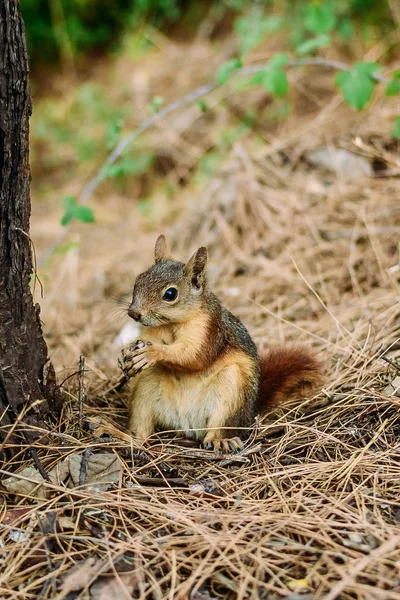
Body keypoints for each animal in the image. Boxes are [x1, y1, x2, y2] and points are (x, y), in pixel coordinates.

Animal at [117, 234, 324, 450]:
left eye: (170, 294)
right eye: (138, 280)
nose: (133, 313)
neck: (172, 323)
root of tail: (187, 425)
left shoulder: (209, 330)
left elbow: (194, 355)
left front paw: (151, 353)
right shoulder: (155, 332)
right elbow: (149, 340)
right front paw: (125, 352)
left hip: (231, 391)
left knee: (219, 426)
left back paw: (220, 441)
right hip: (147, 388)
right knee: (142, 429)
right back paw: (126, 437)